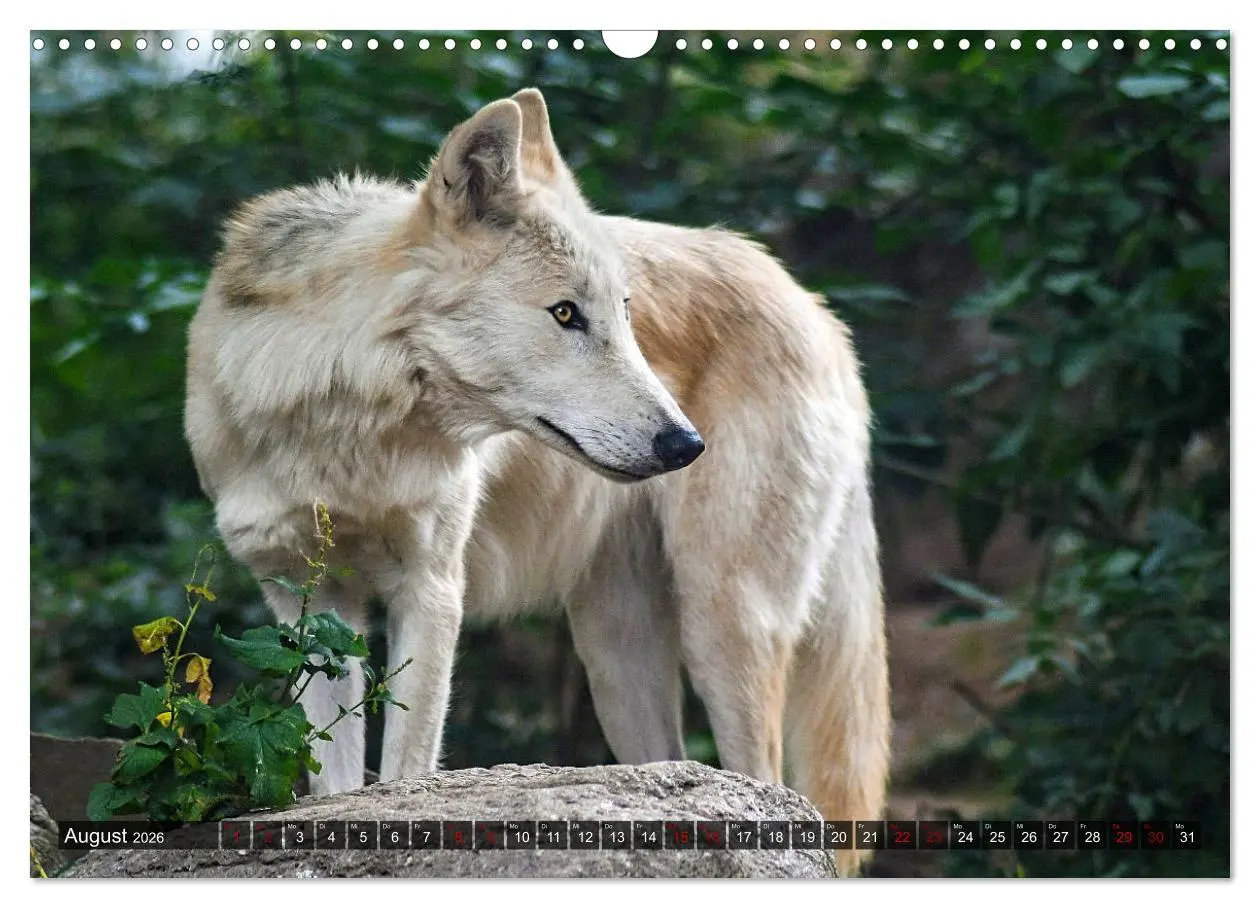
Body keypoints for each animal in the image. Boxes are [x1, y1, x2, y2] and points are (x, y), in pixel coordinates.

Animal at [185, 89, 889, 874]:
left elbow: (404, 769)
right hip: (616, 657)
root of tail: (817, 310)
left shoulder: (432, 590)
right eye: (565, 313)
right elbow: (333, 783)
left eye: (625, 316)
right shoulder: (306, 608)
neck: (343, 424)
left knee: (766, 781)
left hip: (724, 622)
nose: (686, 445)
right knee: (674, 768)